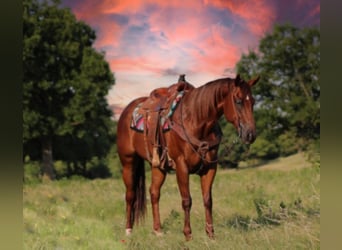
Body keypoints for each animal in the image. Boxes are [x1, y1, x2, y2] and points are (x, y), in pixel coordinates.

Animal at [116, 74, 258, 240]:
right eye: (238, 101)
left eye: (253, 101)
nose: (250, 134)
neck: (196, 120)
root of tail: (127, 111)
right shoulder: (181, 166)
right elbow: (187, 200)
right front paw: (188, 235)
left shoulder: (210, 167)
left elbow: (208, 200)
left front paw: (211, 235)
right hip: (128, 162)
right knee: (130, 195)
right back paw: (128, 230)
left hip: (158, 166)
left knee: (154, 193)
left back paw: (158, 231)